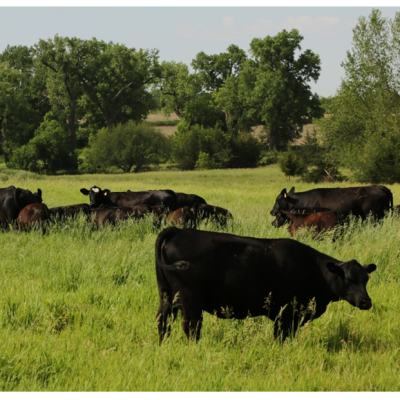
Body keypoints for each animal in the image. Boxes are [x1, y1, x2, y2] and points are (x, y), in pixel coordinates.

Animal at [155, 228, 376, 344]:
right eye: (348, 279)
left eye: (365, 279)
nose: (366, 302)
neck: (312, 269)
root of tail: (179, 231)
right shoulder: (286, 312)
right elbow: (282, 336)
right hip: (190, 301)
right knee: (191, 326)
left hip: (167, 296)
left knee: (162, 321)